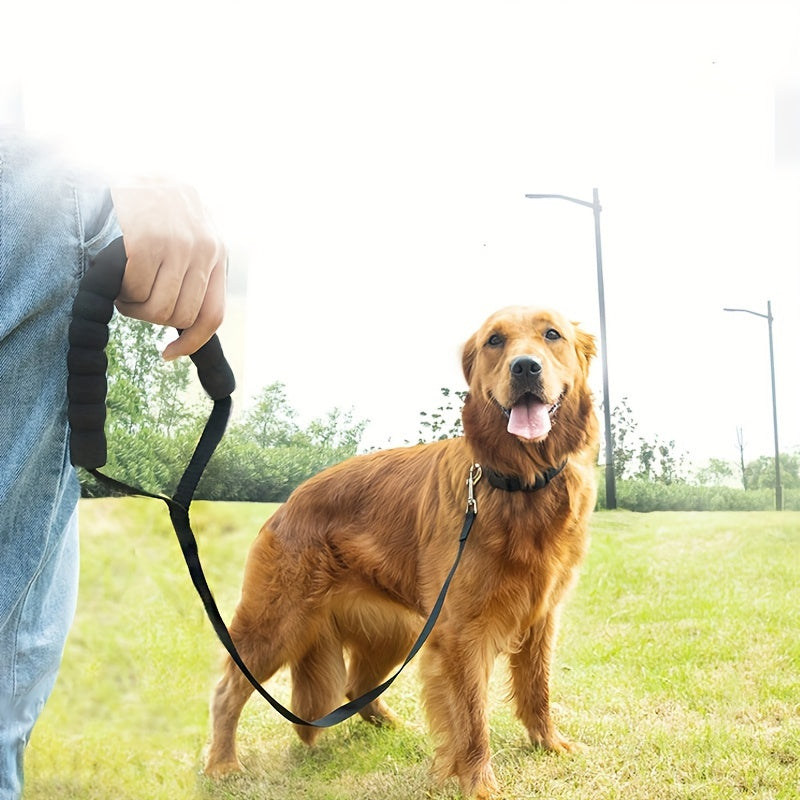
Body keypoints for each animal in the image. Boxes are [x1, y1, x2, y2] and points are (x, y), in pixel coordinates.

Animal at [203, 304, 596, 796]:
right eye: (495, 341)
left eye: (552, 335)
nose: (525, 367)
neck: (519, 483)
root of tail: (289, 502)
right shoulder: (461, 633)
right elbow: (472, 719)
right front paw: (479, 783)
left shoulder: (541, 616)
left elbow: (537, 690)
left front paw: (549, 743)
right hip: (278, 622)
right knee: (229, 690)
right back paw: (221, 763)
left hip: (400, 630)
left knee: (357, 686)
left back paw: (391, 726)